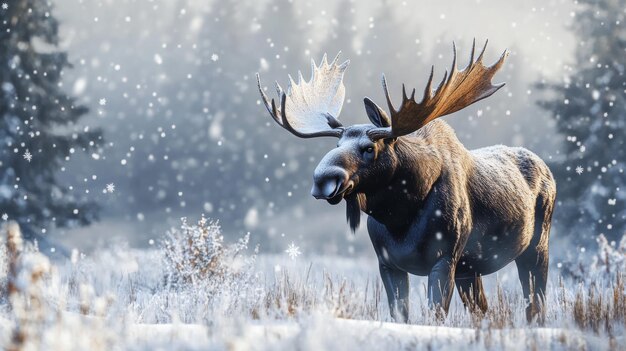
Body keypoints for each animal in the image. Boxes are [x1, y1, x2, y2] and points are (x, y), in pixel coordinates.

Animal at [256, 40, 552, 324]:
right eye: (337, 144)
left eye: (369, 148)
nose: (322, 179)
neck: (401, 216)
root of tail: (546, 168)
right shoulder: (388, 263)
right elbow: (400, 313)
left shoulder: (444, 258)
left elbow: (435, 314)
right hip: (471, 270)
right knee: (483, 309)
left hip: (536, 248)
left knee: (536, 304)